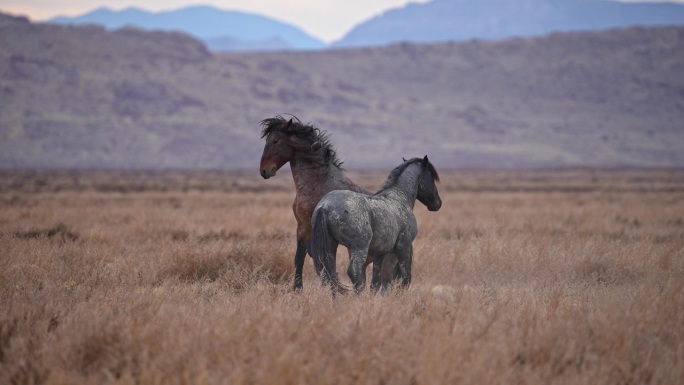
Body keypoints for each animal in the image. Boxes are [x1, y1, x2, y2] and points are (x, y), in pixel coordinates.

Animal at [312, 154, 440, 292]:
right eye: (431, 177)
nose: (438, 203)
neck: (399, 198)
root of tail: (325, 205)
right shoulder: (404, 247)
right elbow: (406, 278)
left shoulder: (379, 253)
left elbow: (375, 282)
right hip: (359, 249)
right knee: (354, 273)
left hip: (331, 247)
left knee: (329, 274)